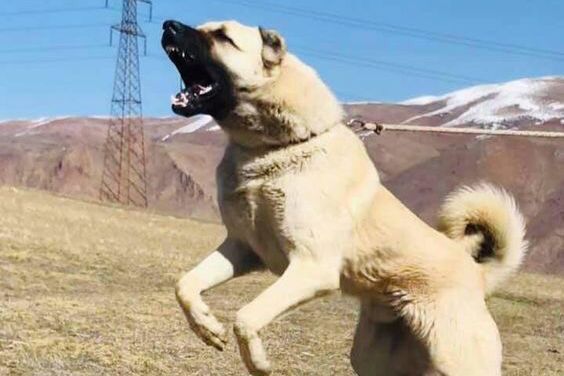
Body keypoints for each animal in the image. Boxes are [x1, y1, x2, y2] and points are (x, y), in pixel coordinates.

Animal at [161, 20, 528, 376]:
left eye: (223, 36)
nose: (167, 25)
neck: (272, 149)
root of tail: (477, 273)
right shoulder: (242, 249)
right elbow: (185, 285)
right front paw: (206, 326)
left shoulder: (312, 269)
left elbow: (246, 316)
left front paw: (258, 362)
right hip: (372, 359)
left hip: (459, 358)